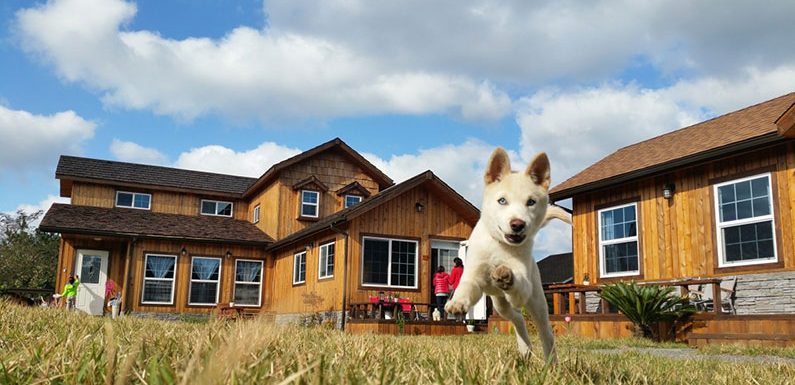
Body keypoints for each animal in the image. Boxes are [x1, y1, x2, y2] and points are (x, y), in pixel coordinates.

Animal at [444, 146, 568, 362]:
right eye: (502, 200)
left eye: (531, 202)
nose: (518, 224)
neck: (499, 245)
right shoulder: (474, 276)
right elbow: (466, 287)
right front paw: (457, 303)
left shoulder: (523, 288)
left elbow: (517, 282)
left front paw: (507, 275)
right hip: (499, 304)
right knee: (517, 318)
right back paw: (525, 349)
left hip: (536, 301)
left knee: (545, 332)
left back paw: (551, 363)